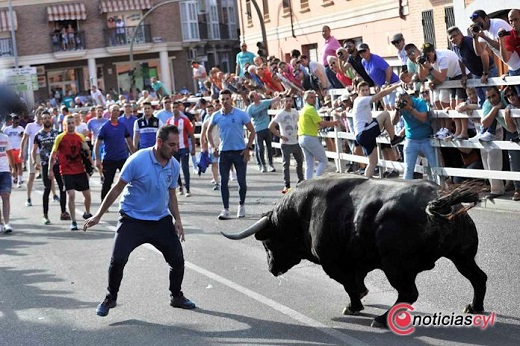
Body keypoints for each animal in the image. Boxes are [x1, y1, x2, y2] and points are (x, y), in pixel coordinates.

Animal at [222, 176, 488, 328]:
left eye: (267, 242)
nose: (271, 268)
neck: (301, 212)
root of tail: (436, 201)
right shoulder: (357, 259)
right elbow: (357, 280)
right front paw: (358, 300)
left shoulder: (334, 264)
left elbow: (350, 285)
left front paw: (354, 305)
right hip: (462, 256)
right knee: (478, 278)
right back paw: (474, 307)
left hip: (396, 267)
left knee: (408, 293)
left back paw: (381, 320)